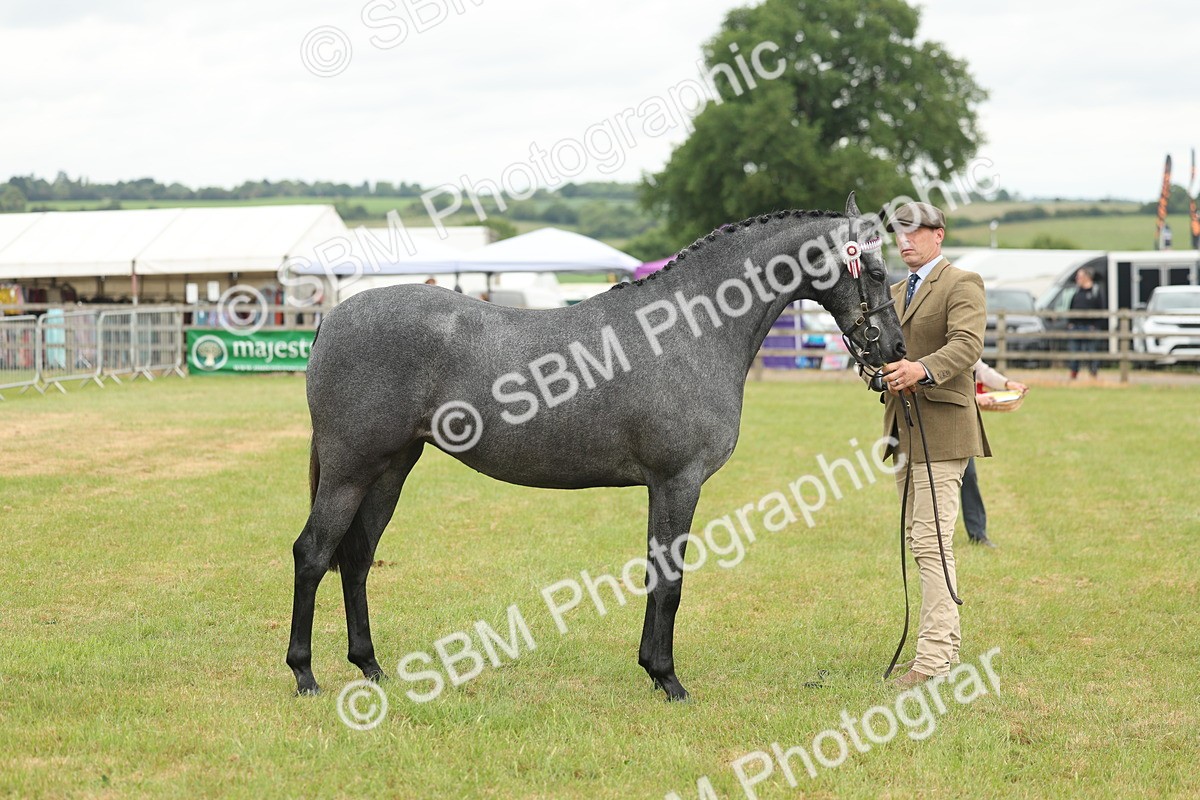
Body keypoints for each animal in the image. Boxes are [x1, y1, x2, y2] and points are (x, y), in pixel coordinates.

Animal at [287, 193, 905, 701]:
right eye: (875, 269)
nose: (894, 349)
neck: (687, 329)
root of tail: (332, 317)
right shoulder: (679, 481)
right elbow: (670, 580)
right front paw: (669, 680)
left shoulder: (663, 486)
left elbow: (656, 572)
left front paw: (652, 668)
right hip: (350, 469)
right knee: (313, 553)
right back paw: (305, 674)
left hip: (390, 469)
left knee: (356, 558)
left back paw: (370, 667)